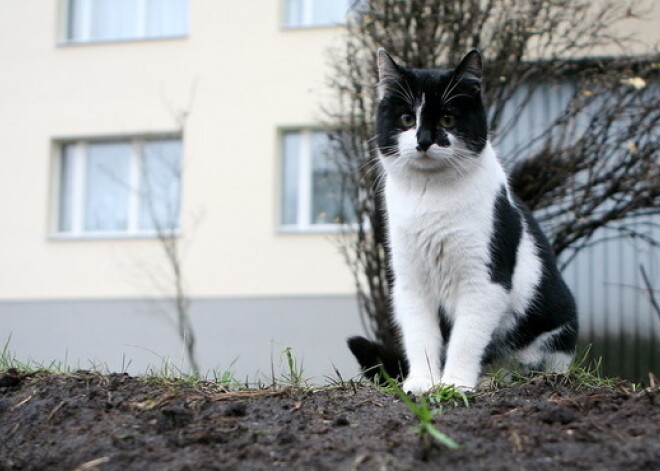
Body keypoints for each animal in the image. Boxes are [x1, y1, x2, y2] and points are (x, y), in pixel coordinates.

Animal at [346, 48, 576, 394]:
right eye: (406, 119)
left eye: (447, 119)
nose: (424, 140)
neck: (430, 195)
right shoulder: (411, 282)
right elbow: (420, 336)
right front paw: (422, 383)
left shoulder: (484, 280)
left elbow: (466, 338)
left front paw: (454, 385)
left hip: (556, 322)